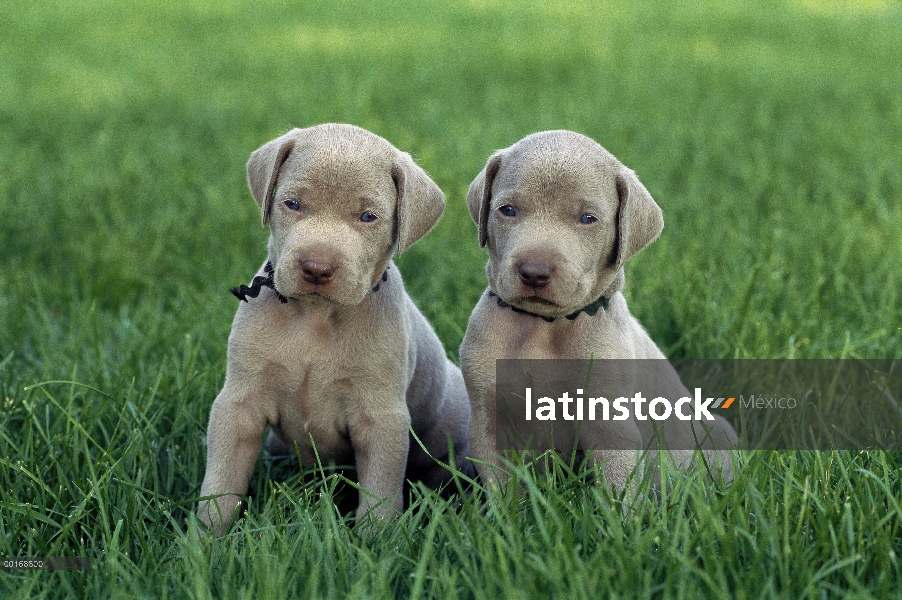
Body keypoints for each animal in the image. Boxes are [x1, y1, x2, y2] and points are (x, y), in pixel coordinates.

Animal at [200, 123, 474, 536]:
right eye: (293, 204)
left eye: (367, 217)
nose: (317, 267)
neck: (315, 317)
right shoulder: (239, 404)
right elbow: (221, 481)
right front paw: (202, 540)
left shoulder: (381, 418)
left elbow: (379, 493)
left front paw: (377, 541)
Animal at [462, 130, 740, 496]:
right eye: (507, 210)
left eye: (587, 219)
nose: (534, 272)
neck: (544, 327)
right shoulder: (488, 423)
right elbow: (503, 493)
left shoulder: (611, 425)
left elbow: (618, 493)